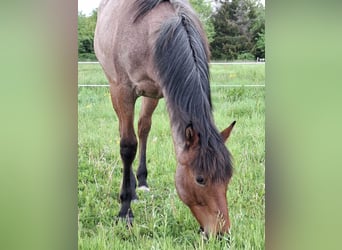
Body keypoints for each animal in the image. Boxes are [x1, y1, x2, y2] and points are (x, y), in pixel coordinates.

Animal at [95, 0, 236, 236]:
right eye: (200, 179)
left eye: (228, 176)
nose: (221, 233)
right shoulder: (122, 90)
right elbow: (127, 146)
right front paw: (125, 211)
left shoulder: (163, 90)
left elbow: (141, 131)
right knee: (127, 135)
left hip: (151, 94)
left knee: (143, 128)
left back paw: (140, 182)